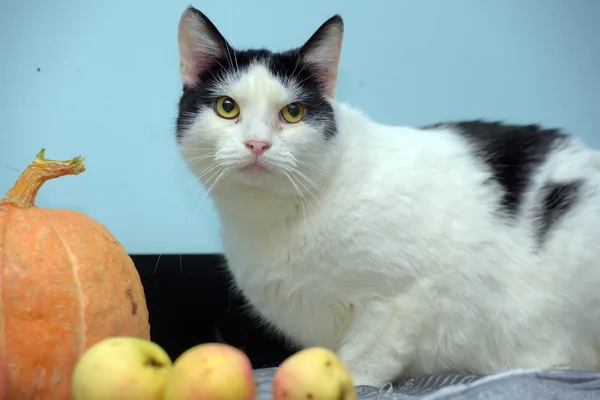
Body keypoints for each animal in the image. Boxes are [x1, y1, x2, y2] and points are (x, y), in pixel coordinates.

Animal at [173, 5, 600, 388]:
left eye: (293, 113)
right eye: (227, 107)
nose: (257, 144)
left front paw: (351, 379)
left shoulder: (401, 299)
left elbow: (364, 360)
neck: (272, 218)